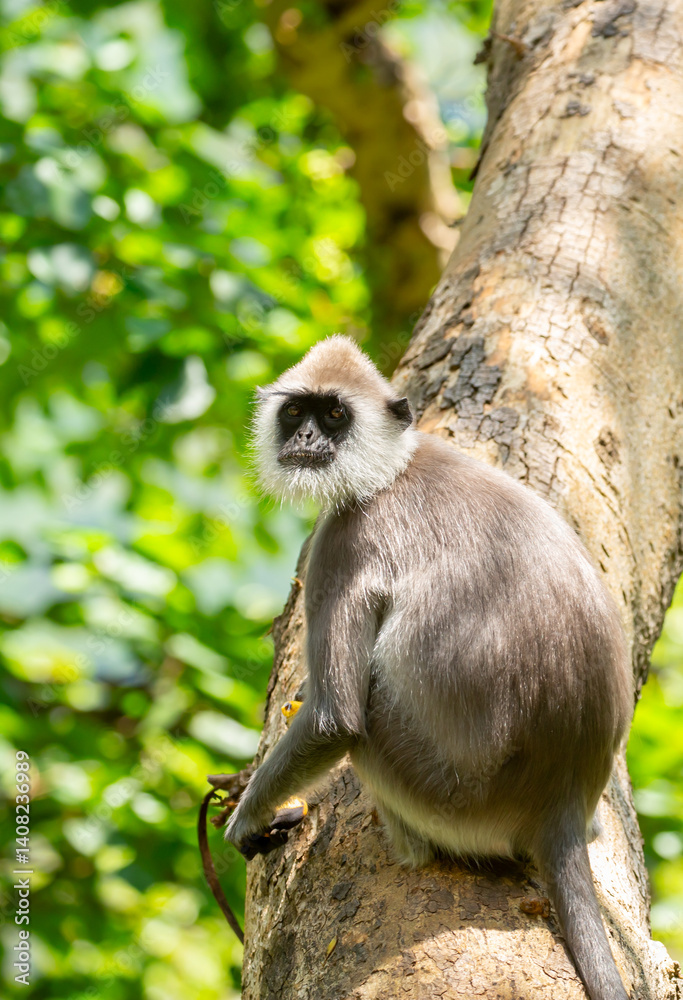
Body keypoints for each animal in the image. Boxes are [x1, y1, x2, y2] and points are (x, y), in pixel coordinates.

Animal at [225, 335, 634, 1000]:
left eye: (334, 415)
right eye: (296, 412)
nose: (306, 438)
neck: (393, 469)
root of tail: (561, 806)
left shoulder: (343, 541)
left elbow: (335, 720)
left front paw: (246, 820)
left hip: (441, 794)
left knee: (363, 727)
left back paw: (408, 847)